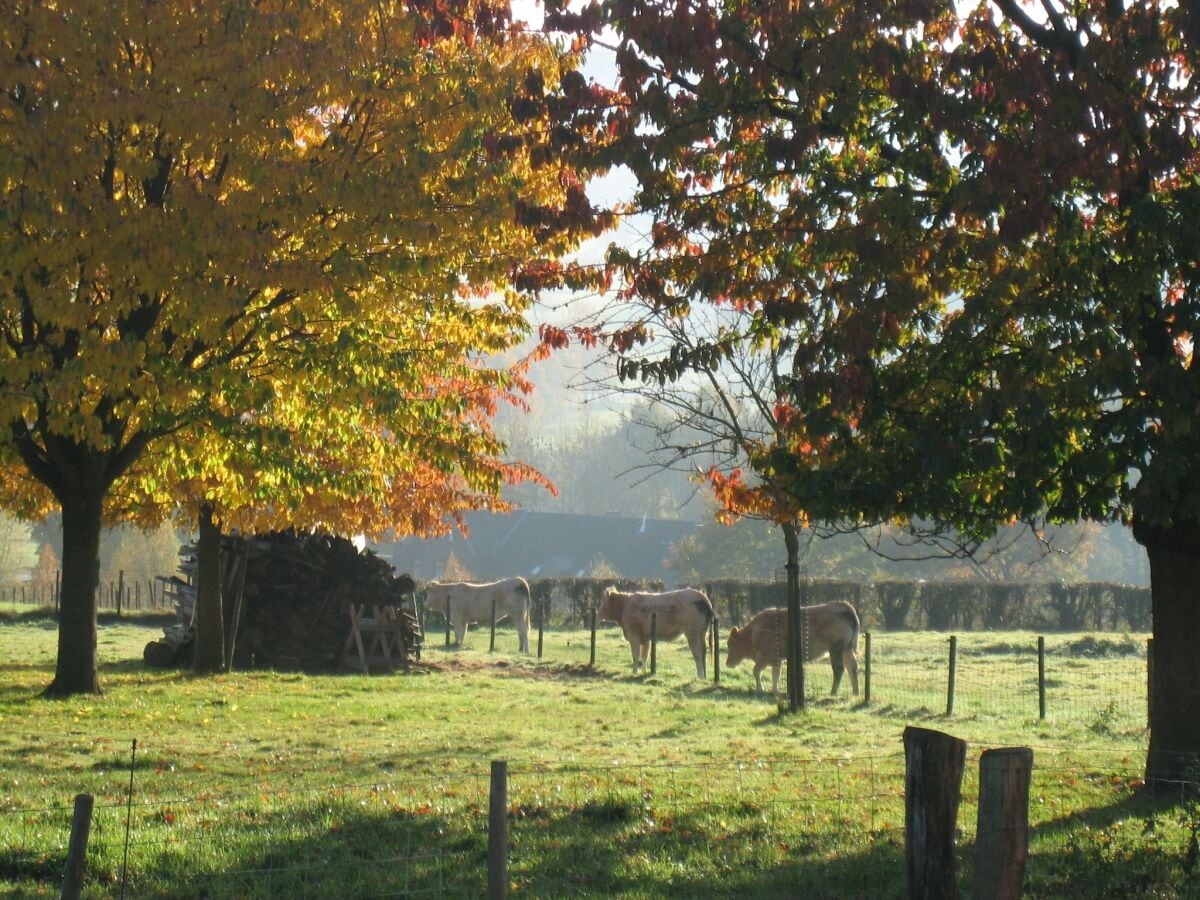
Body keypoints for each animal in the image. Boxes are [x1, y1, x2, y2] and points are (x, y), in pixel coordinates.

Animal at [724, 607, 859, 696]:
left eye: (730, 644)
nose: (727, 663)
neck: (754, 633)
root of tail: (845, 607)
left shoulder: (766, 658)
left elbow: (757, 672)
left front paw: (762, 689)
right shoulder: (777, 660)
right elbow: (775, 675)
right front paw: (774, 690)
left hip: (836, 649)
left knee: (839, 669)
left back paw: (833, 692)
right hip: (847, 650)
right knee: (852, 667)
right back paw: (855, 692)